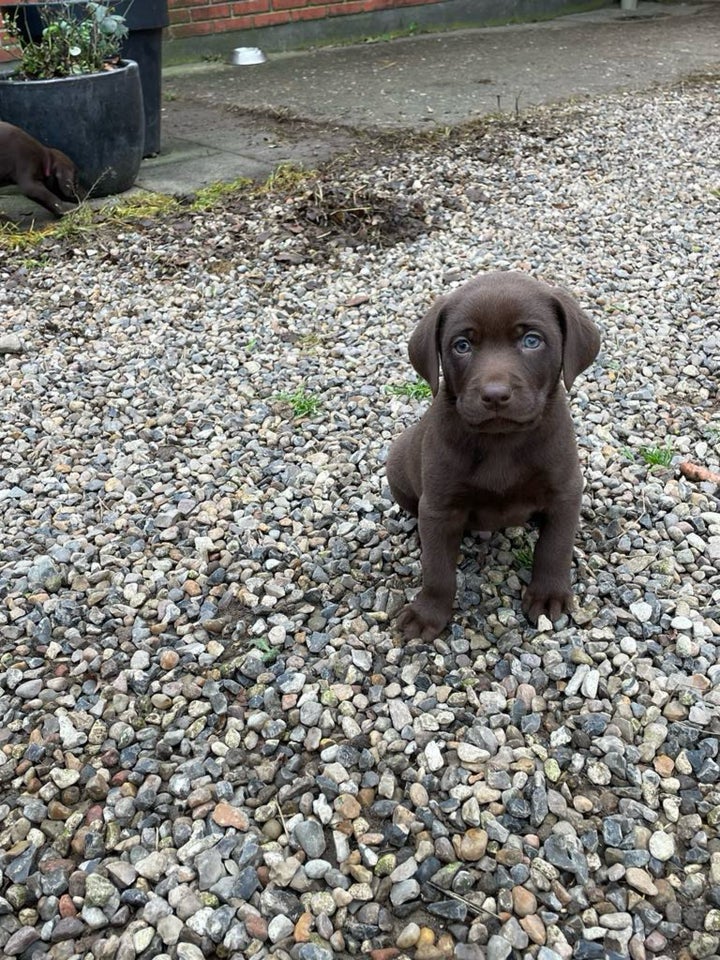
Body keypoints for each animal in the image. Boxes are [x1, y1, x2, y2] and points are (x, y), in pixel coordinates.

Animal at [388, 270, 600, 640]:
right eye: (462, 345)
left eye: (531, 340)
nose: (495, 395)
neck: (502, 441)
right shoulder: (439, 505)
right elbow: (438, 570)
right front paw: (428, 613)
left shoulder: (565, 490)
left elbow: (555, 547)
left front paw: (549, 596)